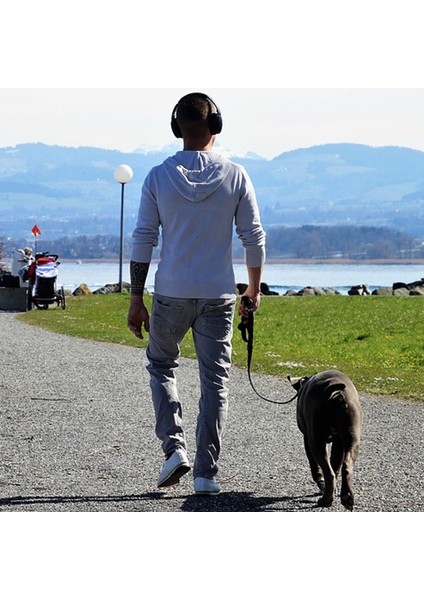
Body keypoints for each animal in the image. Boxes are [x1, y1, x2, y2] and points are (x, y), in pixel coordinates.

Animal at [290, 370, 362, 510]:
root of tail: (335, 392)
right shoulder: (338, 442)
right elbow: (335, 464)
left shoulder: (307, 438)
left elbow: (315, 467)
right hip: (352, 435)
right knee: (345, 466)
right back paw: (346, 497)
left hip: (316, 440)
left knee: (328, 473)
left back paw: (325, 500)